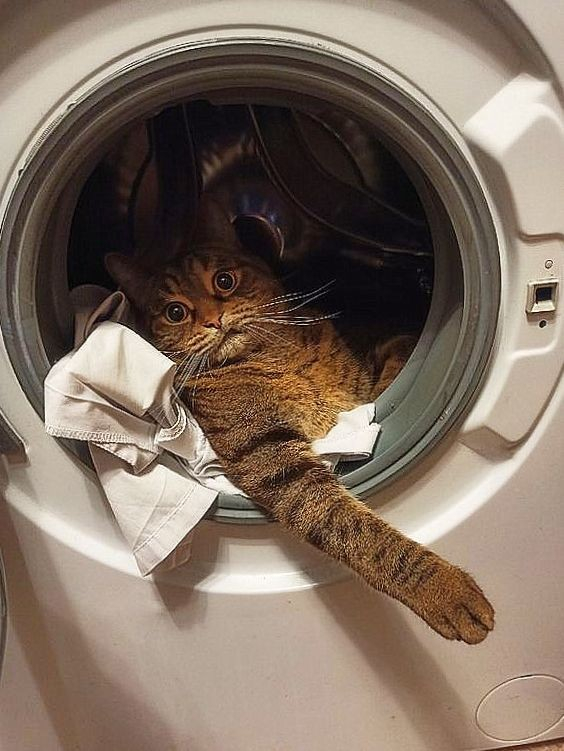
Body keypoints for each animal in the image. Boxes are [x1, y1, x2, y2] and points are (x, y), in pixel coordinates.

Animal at [106, 200, 494, 648]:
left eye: (224, 280)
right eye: (175, 312)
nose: (213, 320)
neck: (271, 355)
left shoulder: (385, 348)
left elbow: (388, 367)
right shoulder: (272, 455)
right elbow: (356, 529)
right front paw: (447, 590)